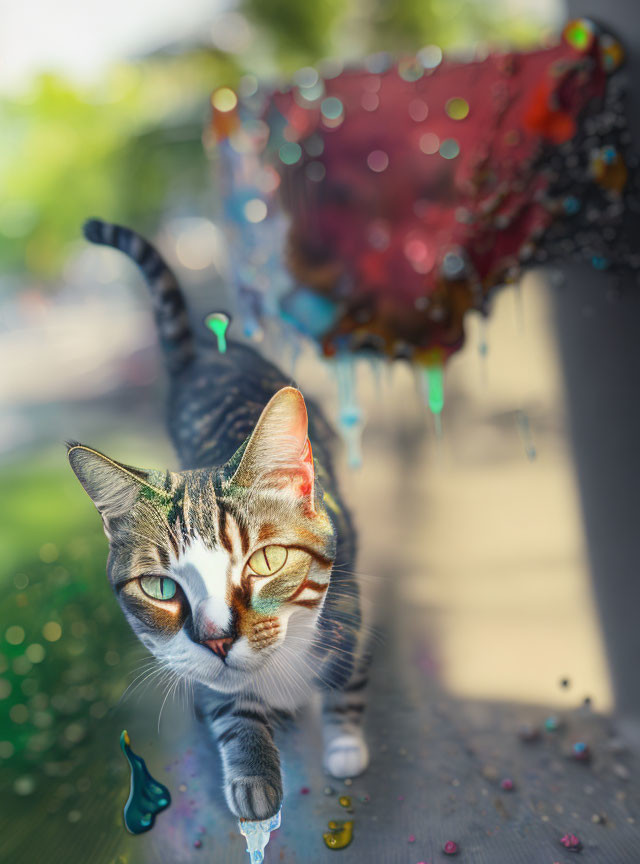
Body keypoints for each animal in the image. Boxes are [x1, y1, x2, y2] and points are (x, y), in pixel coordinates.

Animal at [67, 219, 370, 820]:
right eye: (161, 587)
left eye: (267, 561)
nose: (217, 640)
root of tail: (201, 357)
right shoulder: (196, 664)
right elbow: (230, 707)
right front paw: (253, 774)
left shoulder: (347, 596)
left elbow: (345, 664)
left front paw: (345, 740)